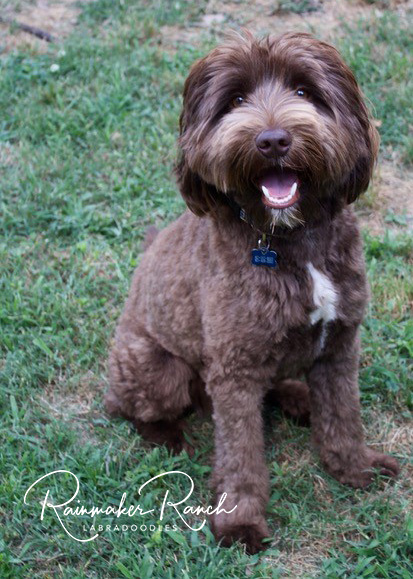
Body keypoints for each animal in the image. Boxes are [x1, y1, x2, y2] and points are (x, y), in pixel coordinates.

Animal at [106, 31, 400, 552]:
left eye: (304, 91)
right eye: (236, 101)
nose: (273, 141)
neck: (290, 237)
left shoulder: (340, 346)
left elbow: (344, 417)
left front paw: (355, 469)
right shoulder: (234, 371)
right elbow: (241, 454)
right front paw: (239, 523)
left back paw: (297, 397)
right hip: (159, 370)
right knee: (129, 406)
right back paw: (169, 437)